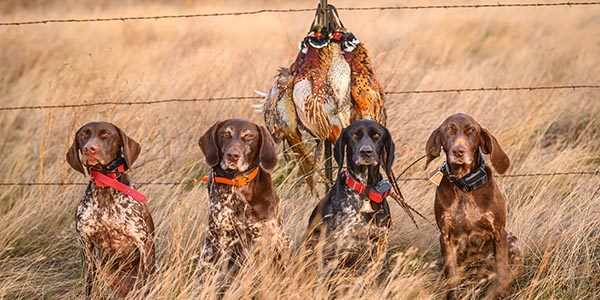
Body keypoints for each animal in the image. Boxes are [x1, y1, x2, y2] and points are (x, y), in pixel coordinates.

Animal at [65, 121, 155, 298]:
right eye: (83, 135)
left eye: (106, 134)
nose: (89, 149)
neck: (105, 186)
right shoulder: (85, 245)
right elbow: (90, 285)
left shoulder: (144, 242)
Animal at [304, 119, 398, 270]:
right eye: (354, 134)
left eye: (377, 135)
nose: (366, 152)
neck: (365, 190)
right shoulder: (339, 247)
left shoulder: (380, 243)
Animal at [426, 113, 520, 298]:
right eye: (448, 130)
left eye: (471, 131)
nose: (458, 151)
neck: (464, 185)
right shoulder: (445, 237)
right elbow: (452, 281)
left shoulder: (499, 233)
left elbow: (502, 276)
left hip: (514, 244)